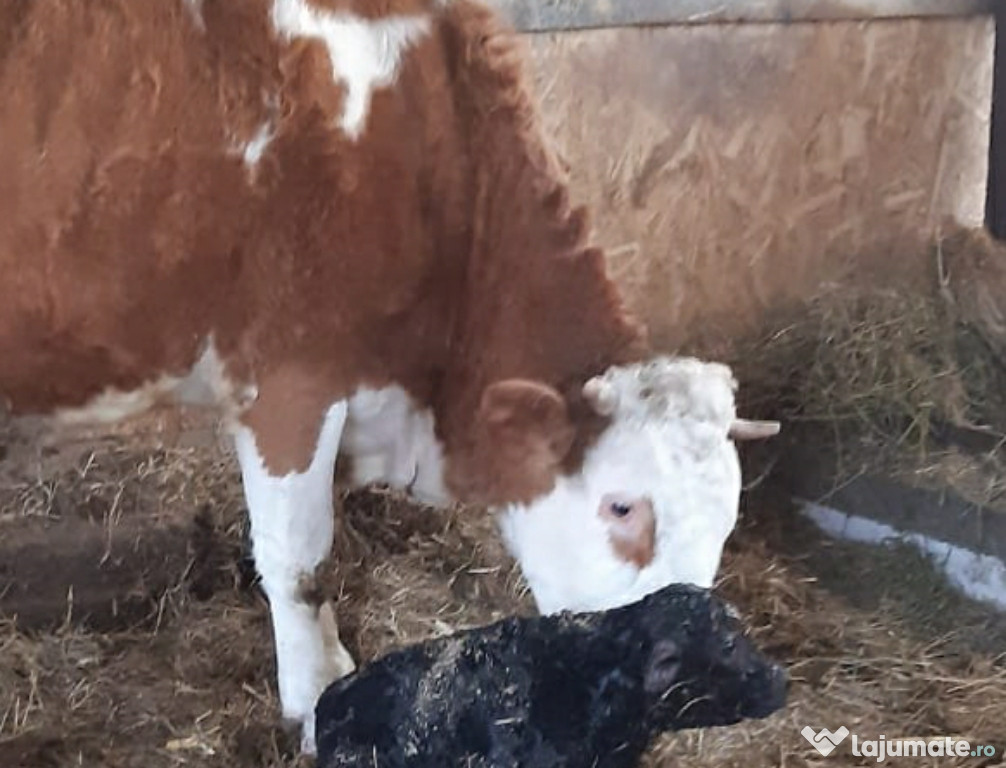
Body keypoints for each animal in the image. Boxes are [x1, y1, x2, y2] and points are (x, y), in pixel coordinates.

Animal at [0, 0, 778, 753]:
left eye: (727, 520)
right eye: (622, 508)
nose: (699, 676)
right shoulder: (292, 378)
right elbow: (300, 563)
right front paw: (313, 704)